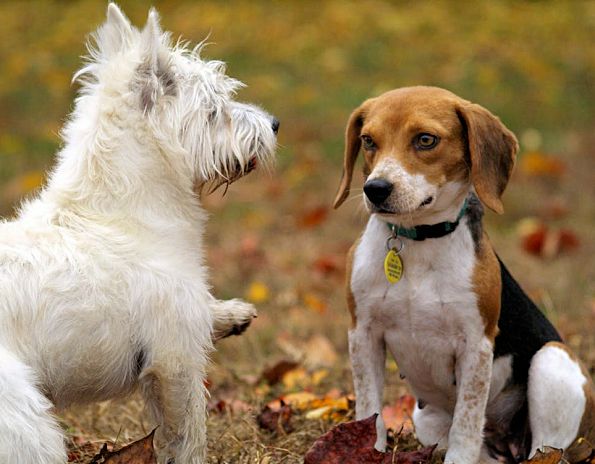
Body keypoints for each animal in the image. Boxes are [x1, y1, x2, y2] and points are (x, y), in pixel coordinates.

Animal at [0, 4, 278, 464]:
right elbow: (188, 435)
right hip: (27, 419)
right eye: (215, 109)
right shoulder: (174, 358)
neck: (117, 215)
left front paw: (230, 314)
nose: (275, 123)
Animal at [336, 87, 595, 464]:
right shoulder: (363, 334)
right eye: (368, 141)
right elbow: (370, 411)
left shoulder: (476, 345)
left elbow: (466, 425)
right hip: (425, 418)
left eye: (426, 140)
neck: (418, 242)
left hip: (552, 361)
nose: (376, 189)